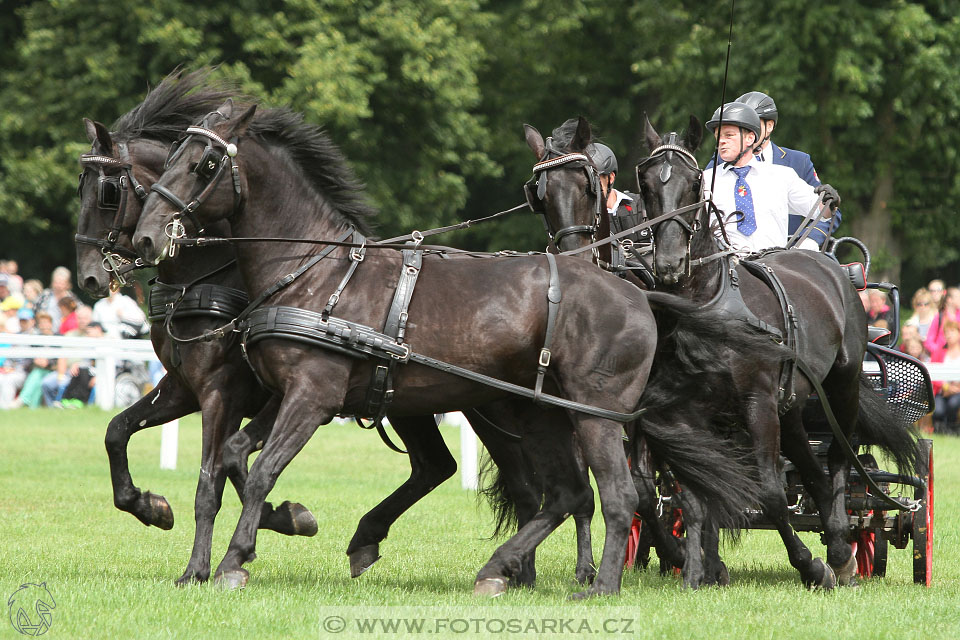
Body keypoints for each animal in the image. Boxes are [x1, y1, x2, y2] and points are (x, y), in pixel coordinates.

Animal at [129, 97, 772, 596]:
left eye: (205, 163)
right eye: (173, 157)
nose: (145, 236)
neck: (318, 272)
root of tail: (638, 292)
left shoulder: (312, 396)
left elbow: (262, 470)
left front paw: (233, 562)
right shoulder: (284, 393)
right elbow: (234, 456)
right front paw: (254, 538)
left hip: (595, 415)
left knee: (617, 495)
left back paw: (605, 584)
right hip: (534, 413)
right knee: (566, 493)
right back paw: (501, 569)